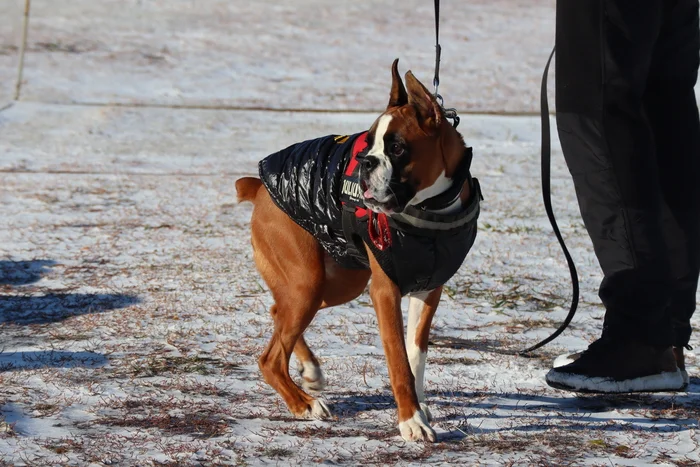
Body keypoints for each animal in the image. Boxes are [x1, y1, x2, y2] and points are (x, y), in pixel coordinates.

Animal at [235, 60, 482, 444]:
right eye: (369, 141)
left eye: (396, 147)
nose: (366, 161)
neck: (431, 209)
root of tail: (259, 186)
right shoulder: (385, 291)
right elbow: (399, 360)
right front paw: (411, 420)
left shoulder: (429, 289)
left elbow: (416, 353)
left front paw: (420, 406)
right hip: (309, 284)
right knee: (271, 358)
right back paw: (304, 404)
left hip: (335, 284)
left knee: (278, 312)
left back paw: (310, 370)